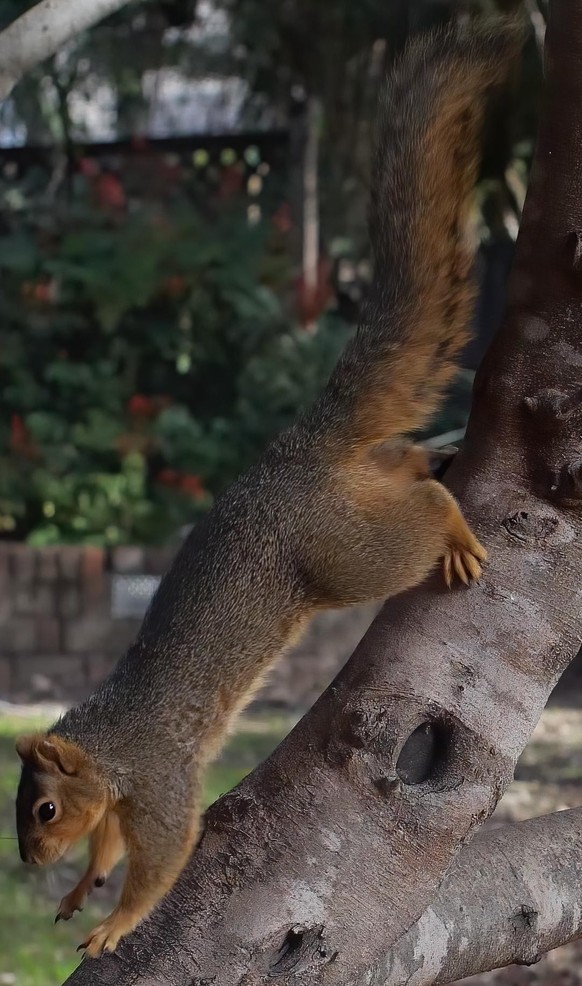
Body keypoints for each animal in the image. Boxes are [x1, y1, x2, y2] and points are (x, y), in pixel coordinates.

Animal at [13, 19, 524, 956]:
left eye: (43, 808)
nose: (28, 864)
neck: (114, 741)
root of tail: (290, 457)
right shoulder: (126, 797)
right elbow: (110, 845)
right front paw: (78, 890)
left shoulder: (161, 785)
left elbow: (162, 858)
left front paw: (113, 922)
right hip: (351, 500)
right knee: (398, 466)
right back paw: (423, 464)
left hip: (341, 554)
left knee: (418, 520)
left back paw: (454, 524)